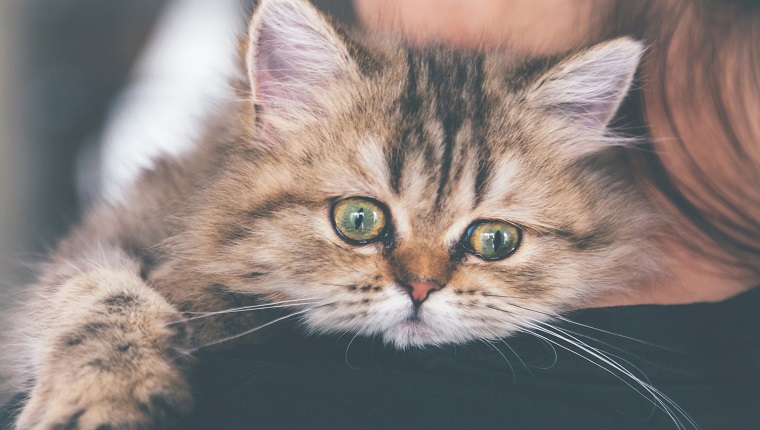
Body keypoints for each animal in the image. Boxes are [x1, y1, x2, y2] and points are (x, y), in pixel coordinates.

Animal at [4, 0, 660, 426]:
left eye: (495, 241)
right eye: (359, 221)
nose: (421, 289)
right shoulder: (95, 243)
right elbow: (101, 297)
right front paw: (105, 398)